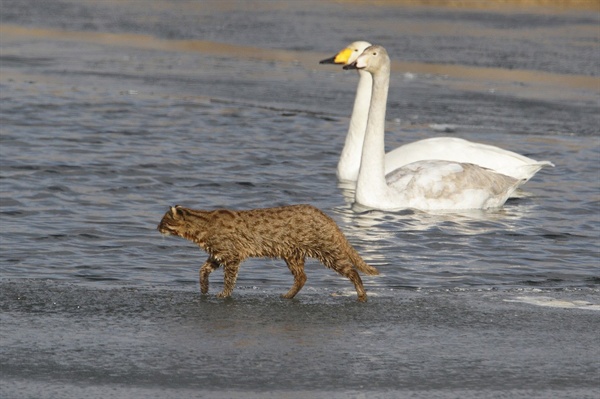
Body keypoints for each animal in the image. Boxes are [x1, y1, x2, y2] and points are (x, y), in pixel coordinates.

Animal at [156, 205, 380, 302]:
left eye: (163, 221)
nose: (156, 228)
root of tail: (325, 215)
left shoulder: (232, 255)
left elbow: (229, 279)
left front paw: (224, 293)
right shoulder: (217, 254)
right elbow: (202, 270)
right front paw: (204, 287)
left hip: (326, 250)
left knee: (352, 271)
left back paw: (361, 293)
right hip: (292, 254)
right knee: (302, 277)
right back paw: (289, 295)